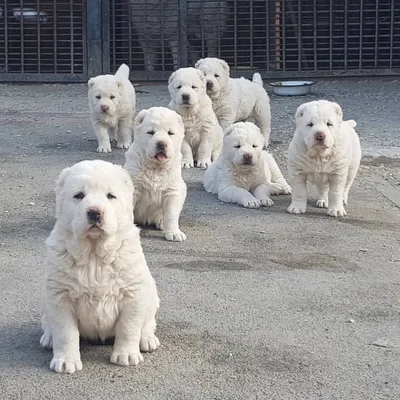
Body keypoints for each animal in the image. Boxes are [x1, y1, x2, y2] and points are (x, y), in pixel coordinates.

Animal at [40, 160, 159, 376]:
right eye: (79, 195)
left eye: (110, 196)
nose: (95, 212)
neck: (94, 255)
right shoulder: (60, 296)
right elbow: (65, 332)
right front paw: (65, 361)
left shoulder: (133, 294)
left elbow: (129, 327)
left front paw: (126, 355)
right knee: (49, 322)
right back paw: (49, 338)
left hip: (151, 292)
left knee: (148, 321)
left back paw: (147, 339)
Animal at [123, 106, 188, 242]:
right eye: (151, 132)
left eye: (170, 133)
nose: (161, 143)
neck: (156, 168)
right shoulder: (134, 189)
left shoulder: (172, 191)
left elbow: (171, 214)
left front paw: (174, 233)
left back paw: (162, 223)